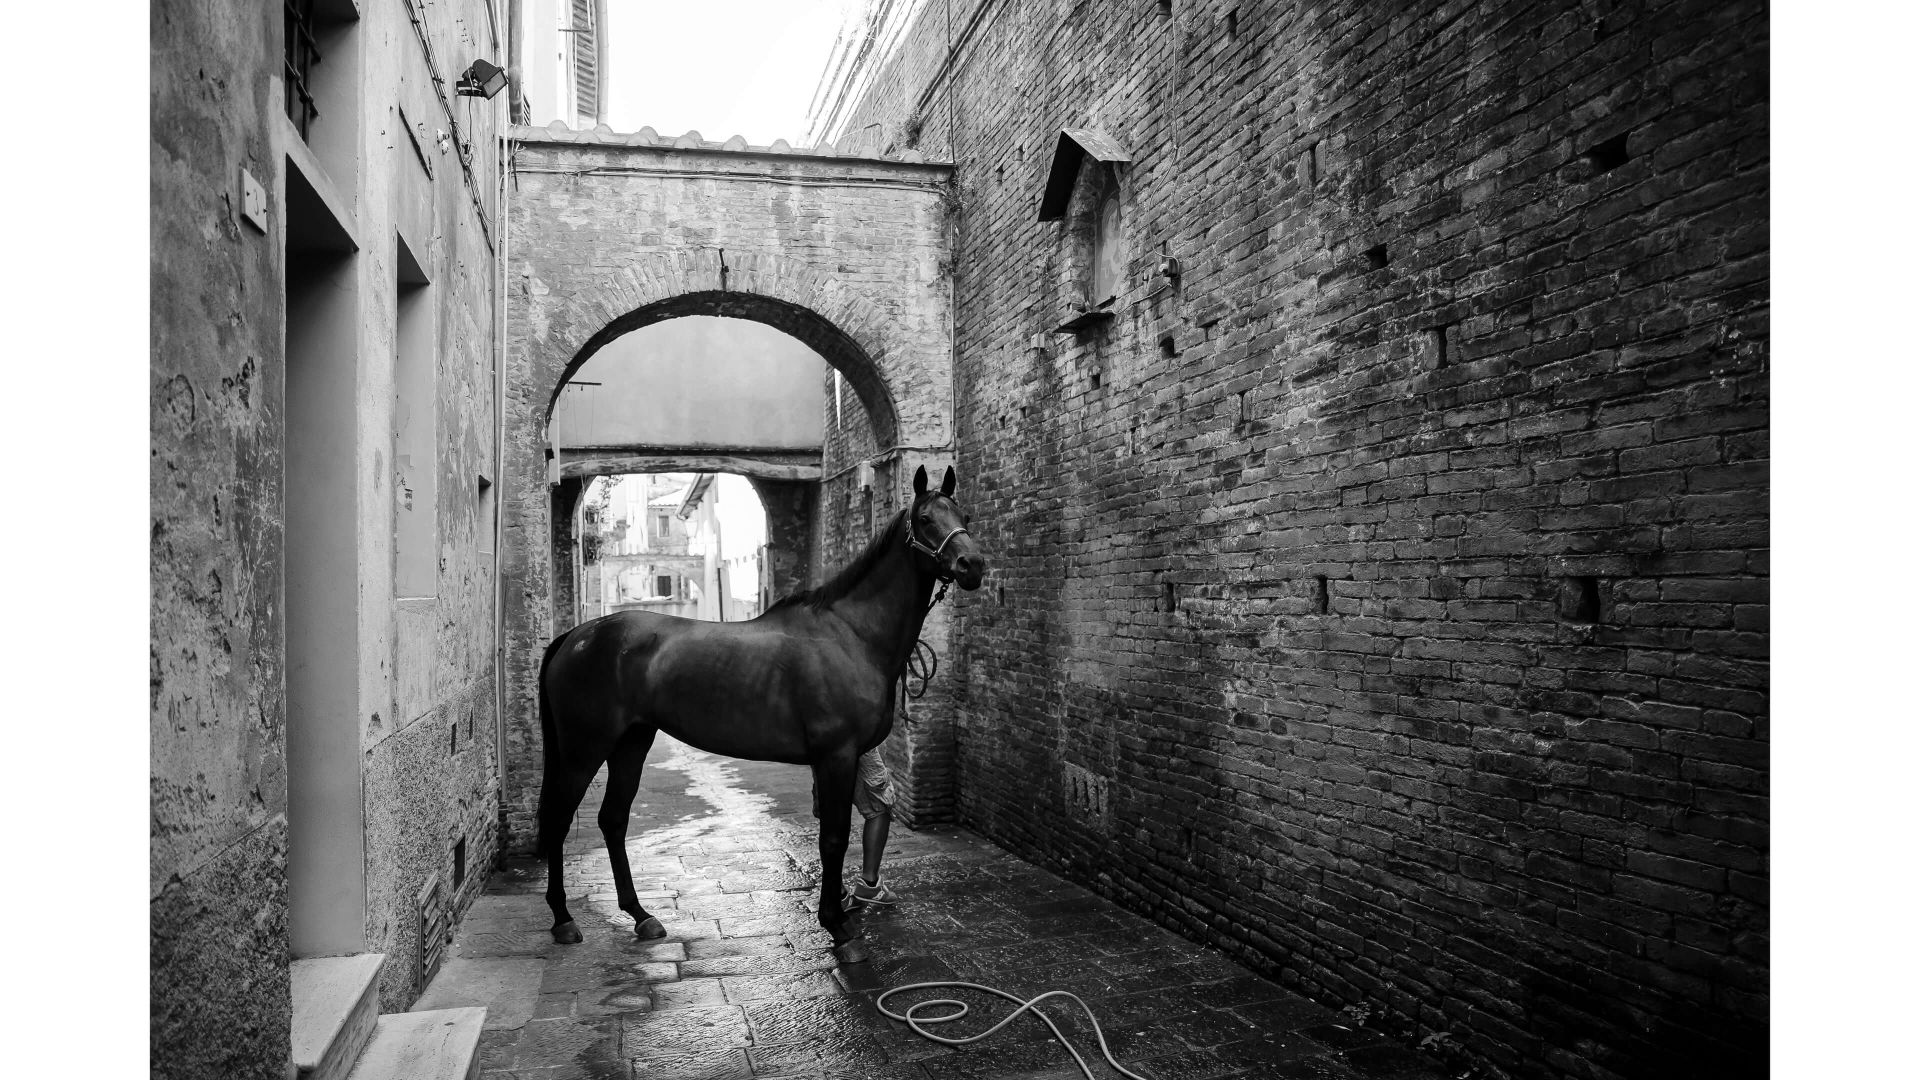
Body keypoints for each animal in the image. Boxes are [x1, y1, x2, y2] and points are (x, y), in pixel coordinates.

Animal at [534, 464, 987, 963]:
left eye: (963, 515)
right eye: (925, 519)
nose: (972, 565)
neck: (852, 634)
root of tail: (576, 637)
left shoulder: (841, 759)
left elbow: (836, 835)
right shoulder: (836, 756)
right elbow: (834, 838)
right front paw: (838, 927)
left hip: (631, 742)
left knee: (612, 820)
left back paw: (641, 915)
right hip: (583, 750)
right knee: (558, 819)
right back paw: (563, 919)